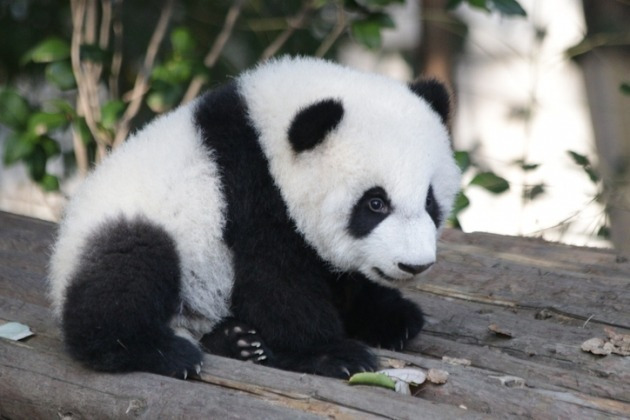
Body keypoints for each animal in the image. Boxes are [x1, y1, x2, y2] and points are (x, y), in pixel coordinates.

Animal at [49, 54, 462, 378]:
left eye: (430, 201)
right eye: (375, 203)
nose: (414, 265)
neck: (265, 134)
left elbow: (334, 274)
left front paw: (393, 317)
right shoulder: (249, 191)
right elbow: (276, 282)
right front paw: (334, 354)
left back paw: (238, 341)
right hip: (129, 227)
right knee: (128, 270)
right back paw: (164, 352)